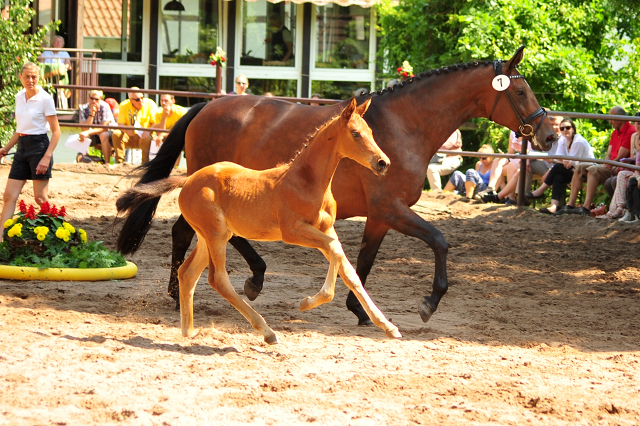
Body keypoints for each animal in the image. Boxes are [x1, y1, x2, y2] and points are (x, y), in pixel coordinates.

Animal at [116, 99, 400, 342]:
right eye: (355, 133)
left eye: (371, 132)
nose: (383, 163)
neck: (306, 181)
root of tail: (187, 180)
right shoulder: (293, 231)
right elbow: (334, 252)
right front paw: (309, 302)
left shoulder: (327, 228)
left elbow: (348, 270)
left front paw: (388, 326)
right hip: (217, 235)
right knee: (217, 279)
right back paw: (266, 331)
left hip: (209, 236)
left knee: (188, 273)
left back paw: (188, 332)